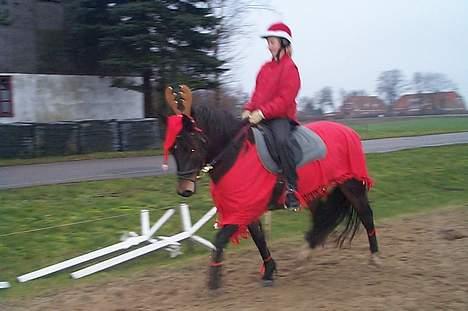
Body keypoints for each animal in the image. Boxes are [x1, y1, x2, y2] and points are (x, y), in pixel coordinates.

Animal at [164, 84, 380, 290]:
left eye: (192, 147)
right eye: (174, 149)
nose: (184, 190)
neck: (236, 154)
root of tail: (348, 131)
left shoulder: (242, 209)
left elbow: (220, 239)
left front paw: (213, 282)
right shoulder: (246, 209)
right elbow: (259, 239)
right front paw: (269, 272)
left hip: (351, 185)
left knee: (366, 214)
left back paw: (375, 257)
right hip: (315, 194)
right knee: (321, 220)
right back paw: (305, 255)